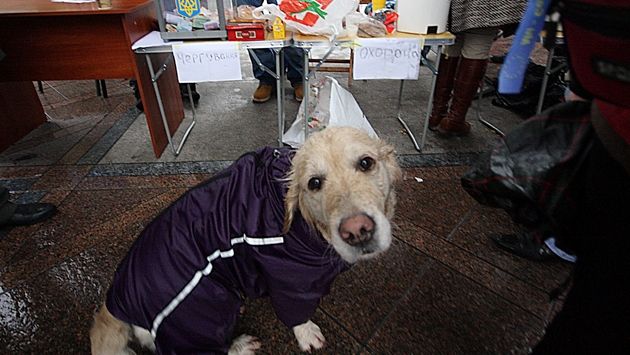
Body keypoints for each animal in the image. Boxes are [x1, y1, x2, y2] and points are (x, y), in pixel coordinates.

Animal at [90, 126, 402, 354]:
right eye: (314, 183)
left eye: (366, 163)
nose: (357, 230)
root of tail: (116, 304)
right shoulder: (290, 283)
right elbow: (297, 313)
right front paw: (307, 334)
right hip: (205, 305)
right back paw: (240, 346)